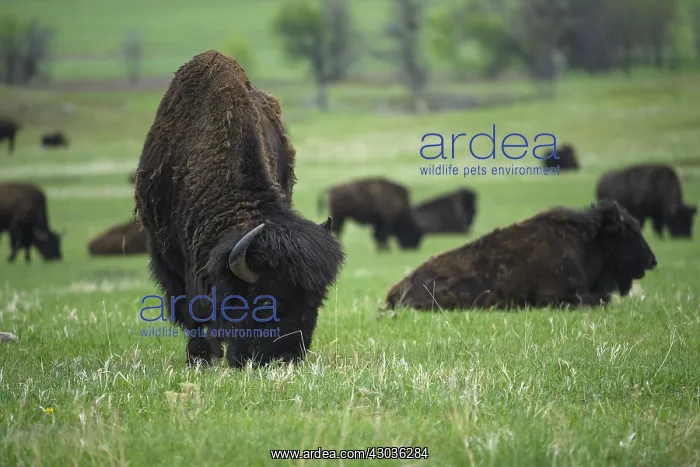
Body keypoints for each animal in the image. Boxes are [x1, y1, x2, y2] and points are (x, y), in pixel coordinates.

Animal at [134, 50, 344, 368]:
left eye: (317, 299)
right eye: (269, 302)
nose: (288, 357)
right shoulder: (168, 255)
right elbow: (191, 310)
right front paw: (199, 357)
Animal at [381, 200, 656, 313]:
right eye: (629, 232)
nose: (652, 260)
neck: (588, 241)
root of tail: (400, 286)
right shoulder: (558, 297)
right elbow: (602, 299)